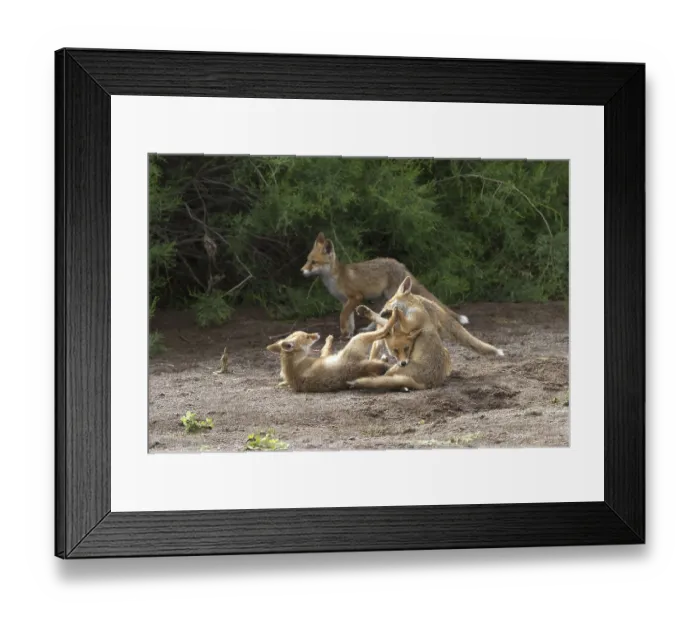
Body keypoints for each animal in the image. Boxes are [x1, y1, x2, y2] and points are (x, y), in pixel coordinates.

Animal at [265, 323, 394, 393]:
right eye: (307, 336)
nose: (317, 334)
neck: (293, 364)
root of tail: (355, 369)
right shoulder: (322, 357)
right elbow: (325, 349)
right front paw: (329, 339)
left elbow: (325, 348)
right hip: (358, 338)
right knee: (381, 332)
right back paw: (393, 316)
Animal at [301, 232, 469, 339]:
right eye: (307, 260)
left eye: (314, 262)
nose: (301, 271)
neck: (335, 278)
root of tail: (399, 264)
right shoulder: (345, 301)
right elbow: (349, 320)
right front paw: (348, 334)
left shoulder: (356, 297)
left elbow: (342, 316)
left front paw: (343, 332)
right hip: (383, 298)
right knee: (377, 314)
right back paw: (369, 329)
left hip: (390, 295)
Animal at [357, 276, 505, 358]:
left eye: (388, 302)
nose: (382, 311)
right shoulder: (397, 327)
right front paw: (367, 312)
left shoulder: (409, 325)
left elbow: (398, 316)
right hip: (380, 342)